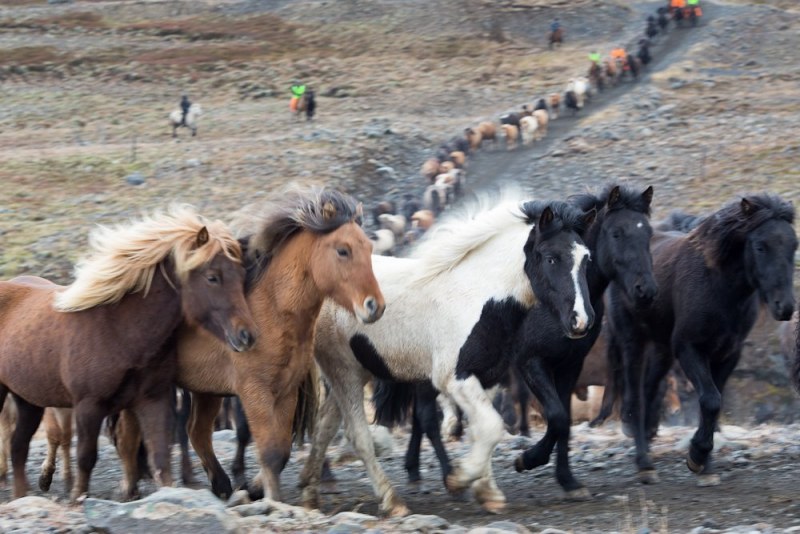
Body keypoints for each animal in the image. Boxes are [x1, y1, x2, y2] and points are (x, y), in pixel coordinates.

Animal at [0, 205, 256, 502]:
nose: (247, 336)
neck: (119, 330)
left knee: (18, 446)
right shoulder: (88, 406)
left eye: (242, 277)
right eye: (212, 277)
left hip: (28, 399)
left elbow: (160, 457)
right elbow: (86, 457)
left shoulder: (153, 400)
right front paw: (77, 500)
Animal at [114, 187, 386, 502]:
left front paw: (258, 490)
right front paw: (273, 500)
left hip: (205, 390)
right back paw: (130, 488)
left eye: (369, 247)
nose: (374, 306)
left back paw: (219, 485)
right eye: (343, 250)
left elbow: (281, 450)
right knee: (129, 434)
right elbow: (269, 452)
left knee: (196, 432)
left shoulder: (286, 392)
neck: (270, 309)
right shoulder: (254, 393)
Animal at [298, 194, 592, 520]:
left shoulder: (486, 377)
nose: (581, 321)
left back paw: (310, 494)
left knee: (324, 427)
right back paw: (391, 501)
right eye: (551, 258)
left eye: (587, 259)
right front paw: (460, 478)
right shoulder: (453, 378)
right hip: (343, 372)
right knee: (356, 435)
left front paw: (486, 491)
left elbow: (482, 429)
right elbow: (492, 427)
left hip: (352, 373)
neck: (477, 297)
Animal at [608, 196, 796, 486]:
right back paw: (643, 464)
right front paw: (696, 456)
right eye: (760, 246)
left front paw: (705, 464)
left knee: (650, 390)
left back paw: (648, 447)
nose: (784, 307)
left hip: (662, 349)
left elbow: (713, 404)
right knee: (637, 395)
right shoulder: (689, 348)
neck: (719, 287)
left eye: (793, 245)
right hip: (633, 341)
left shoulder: (728, 353)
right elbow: (710, 400)